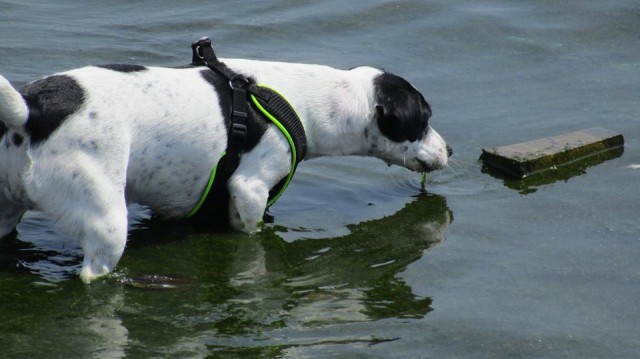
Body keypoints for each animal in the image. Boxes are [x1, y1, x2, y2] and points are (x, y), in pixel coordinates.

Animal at [0, 54, 450, 282]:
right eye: (424, 119)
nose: (449, 149)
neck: (308, 99)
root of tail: (31, 111)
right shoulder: (249, 191)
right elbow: (253, 235)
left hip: (5, 214)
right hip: (107, 226)